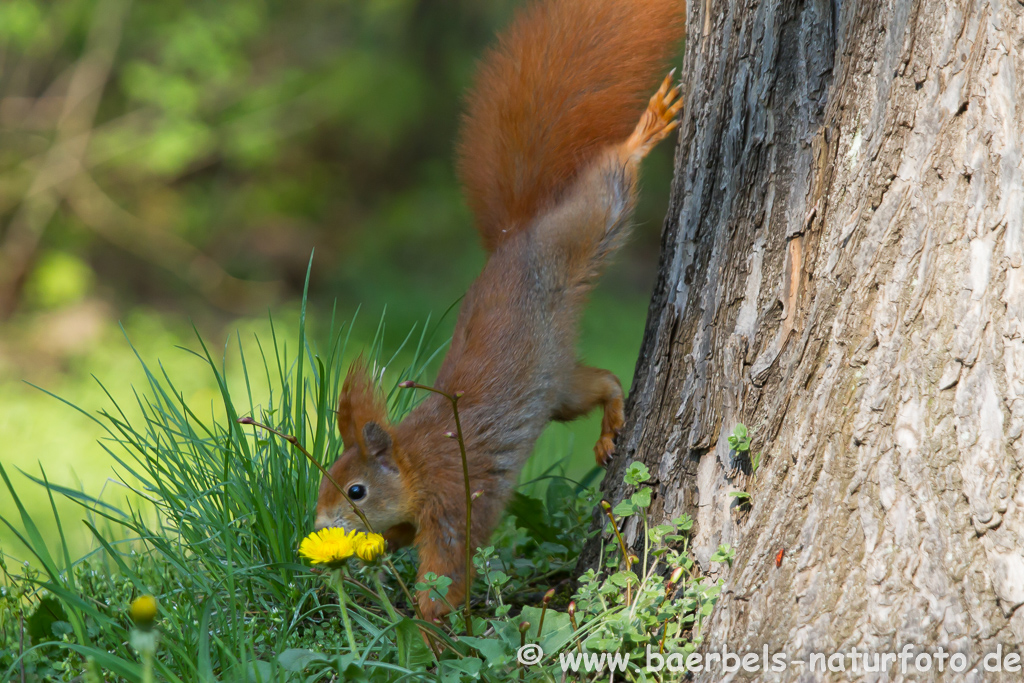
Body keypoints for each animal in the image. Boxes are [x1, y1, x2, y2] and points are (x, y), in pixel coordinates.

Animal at [315, 0, 684, 626]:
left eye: (356, 491)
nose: (319, 527)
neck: (413, 462)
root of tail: (517, 234)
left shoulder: (452, 498)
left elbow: (446, 575)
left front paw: (434, 633)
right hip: (556, 387)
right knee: (602, 381)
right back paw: (610, 428)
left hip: (578, 235)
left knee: (608, 185)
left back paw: (644, 131)